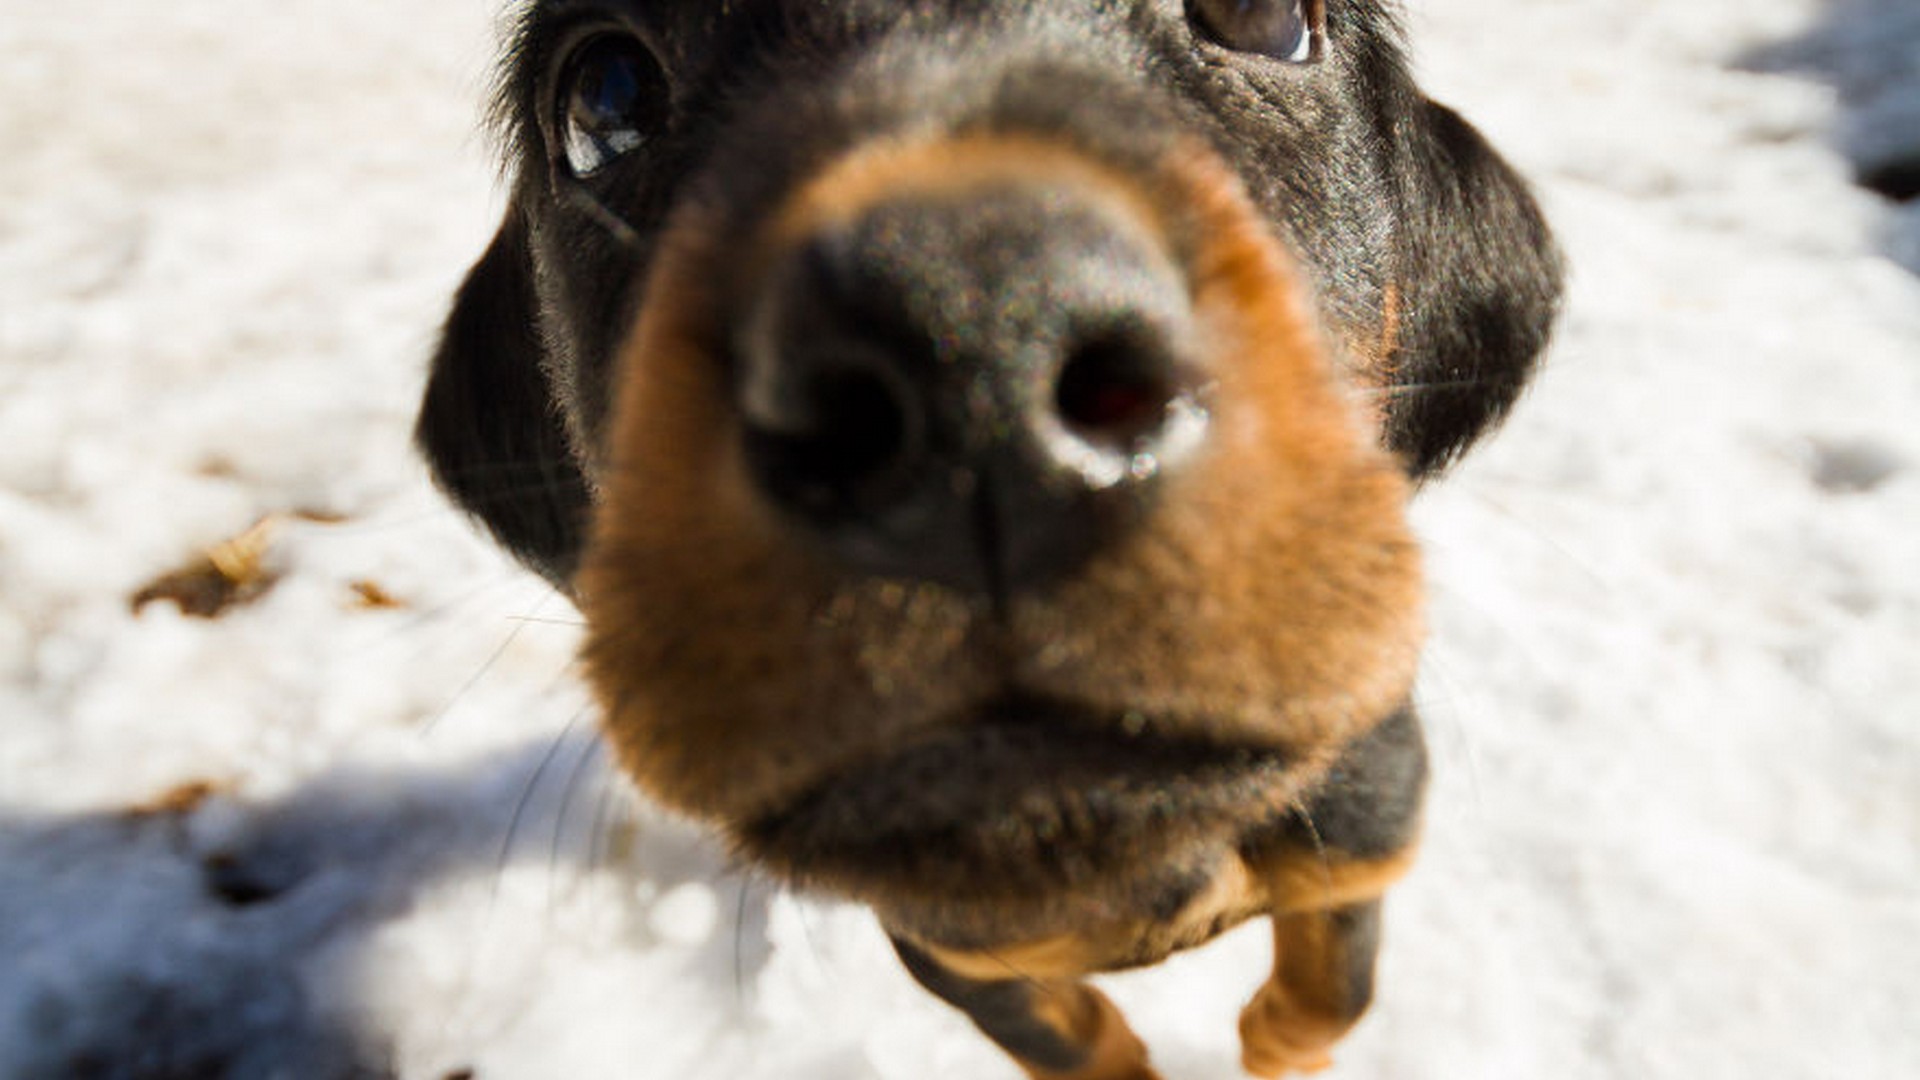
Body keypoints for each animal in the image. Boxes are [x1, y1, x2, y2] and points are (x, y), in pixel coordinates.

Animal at [412, 4, 1551, 1068]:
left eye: (1266, 20)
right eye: (604, 98)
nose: (981, 360)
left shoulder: (1363, 840)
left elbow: (1330, 993)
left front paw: (1277, 1051)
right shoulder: (962, 961)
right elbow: (1081, 1043)